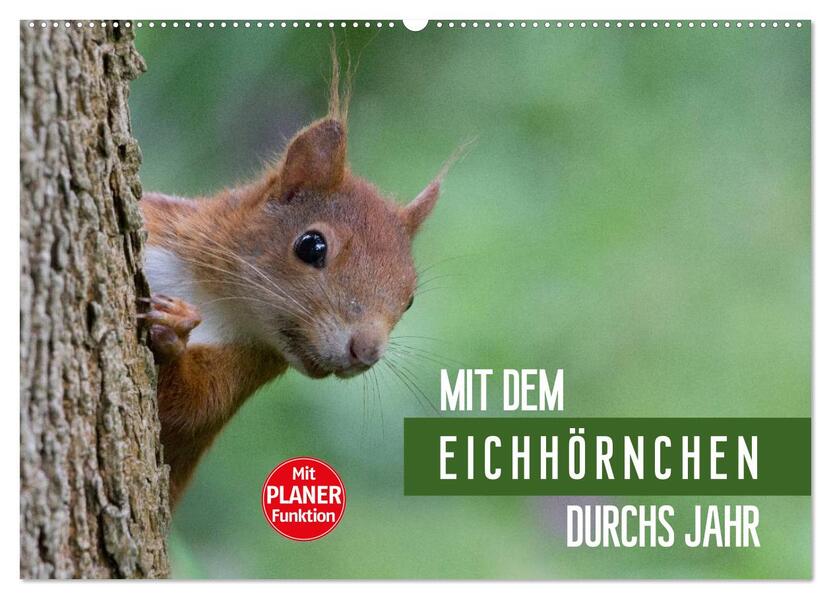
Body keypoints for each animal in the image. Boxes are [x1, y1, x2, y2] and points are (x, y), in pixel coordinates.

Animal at [138, 55, 446, 507]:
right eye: (311, 245)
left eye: (409, 299)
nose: (366, 352)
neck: (211, 295)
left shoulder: (243, 369)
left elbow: (186, 410)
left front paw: (173, 331)